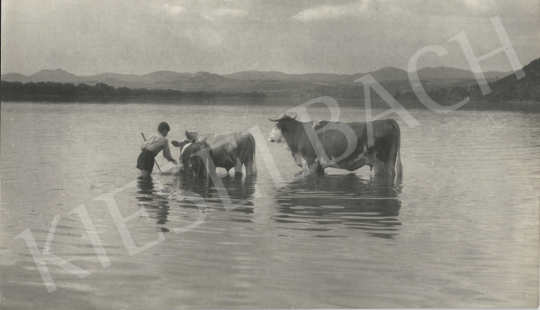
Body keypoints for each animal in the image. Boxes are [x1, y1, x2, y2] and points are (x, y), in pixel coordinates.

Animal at [268, 114, 400, 177]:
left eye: (275, 126)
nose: (269, 136)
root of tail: (386, 121)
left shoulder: (311, 162)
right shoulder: (320, 166)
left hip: (381, 163)